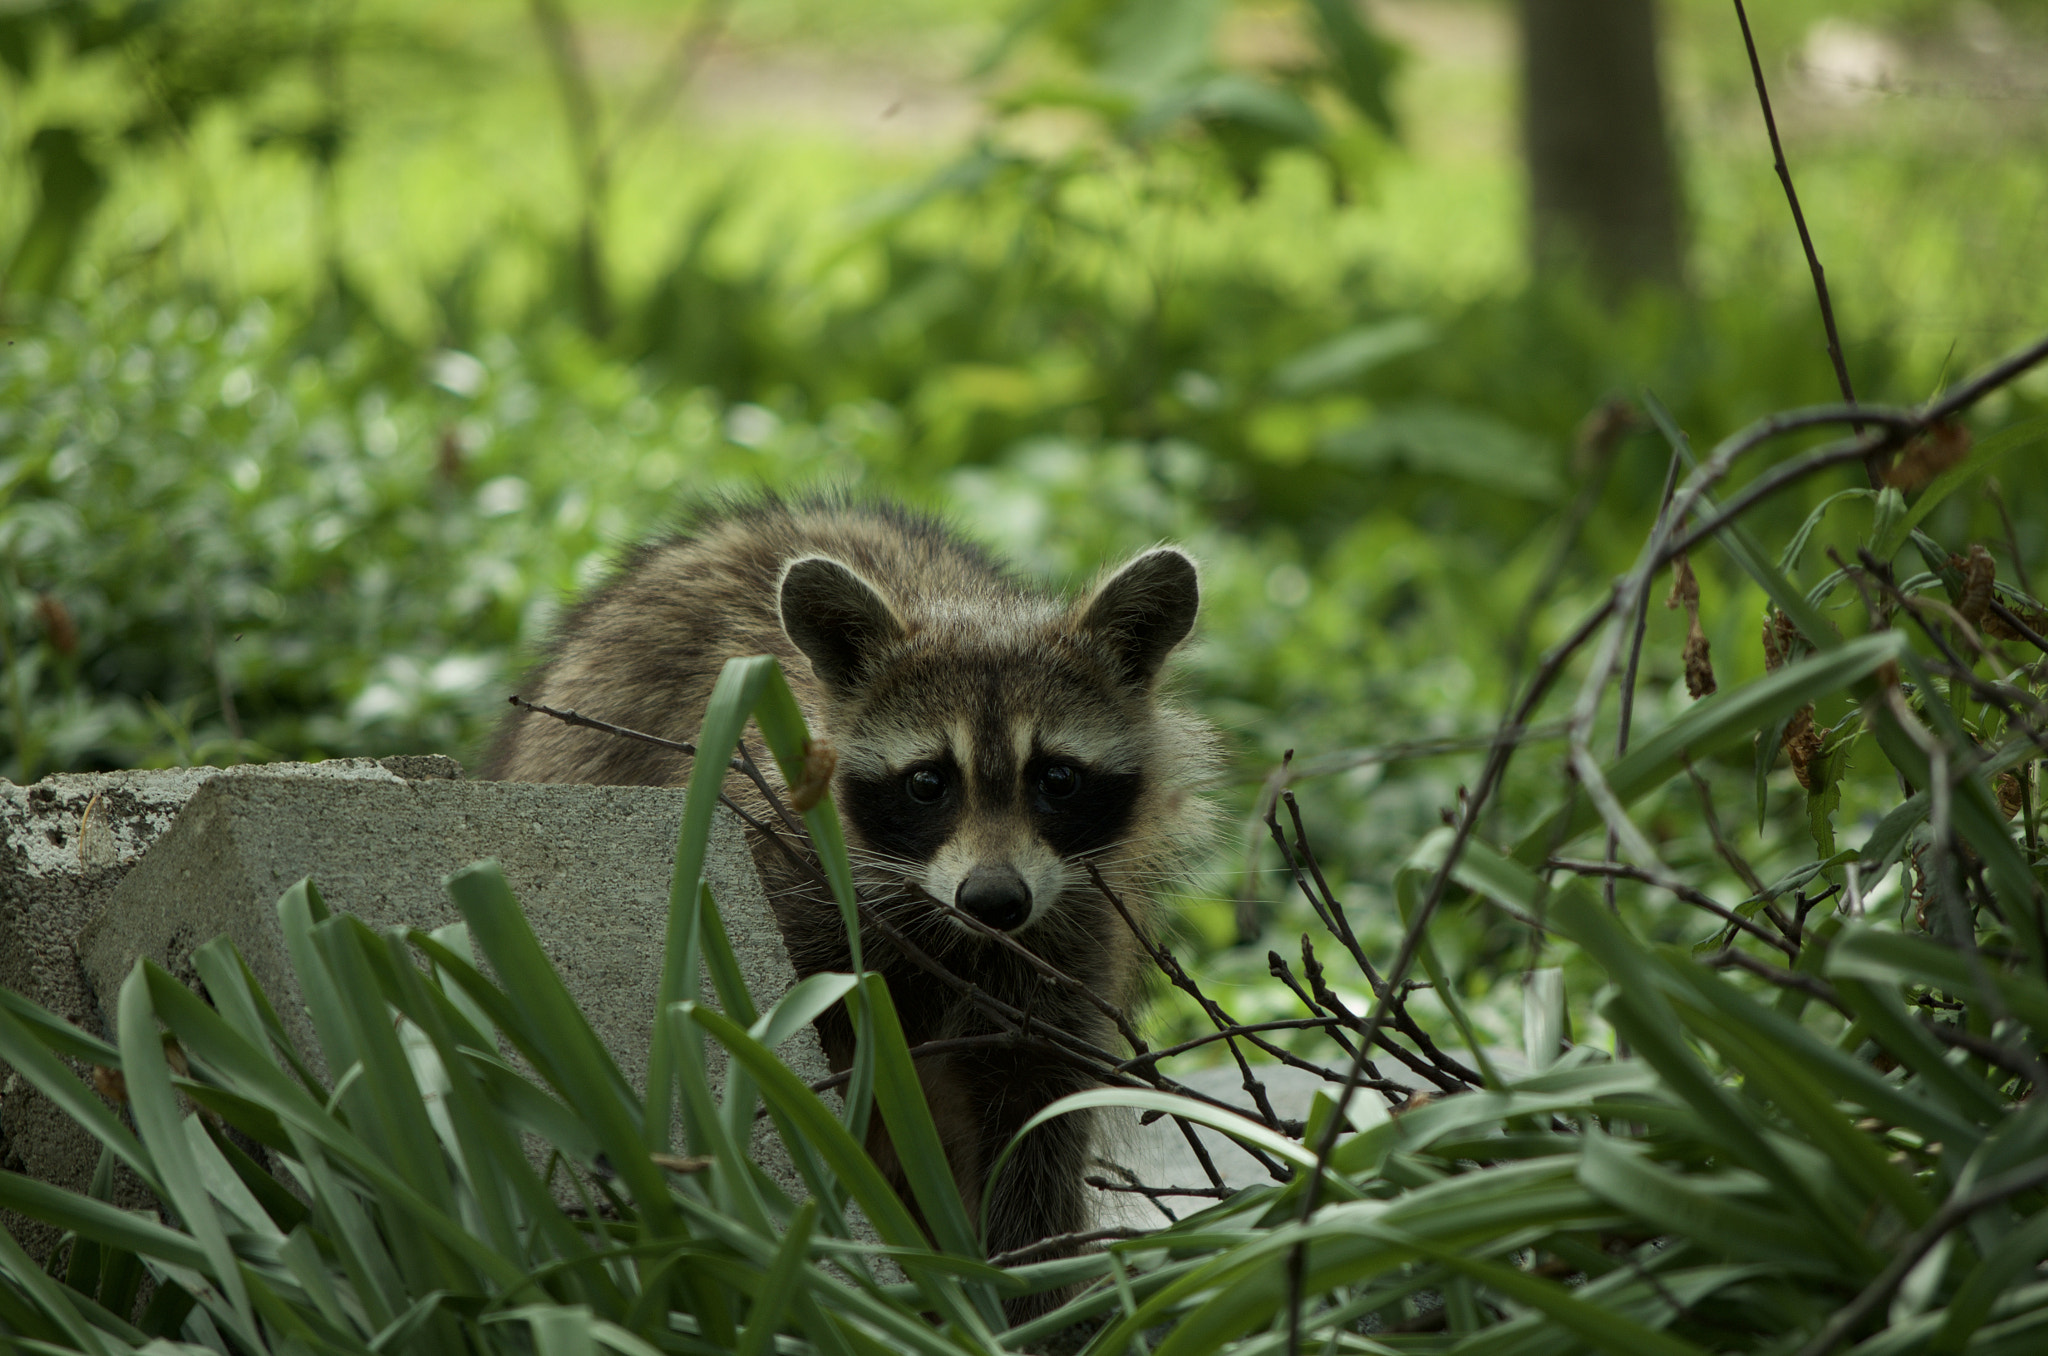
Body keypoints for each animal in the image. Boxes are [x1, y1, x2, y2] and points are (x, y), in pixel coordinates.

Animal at [479, 499, 1212, 1294]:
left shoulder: (1066, 950)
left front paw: (1032, 1286)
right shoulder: (792, 888)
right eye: (928, 782)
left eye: (1057, 778)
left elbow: (1035, 1123)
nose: (993, 900)